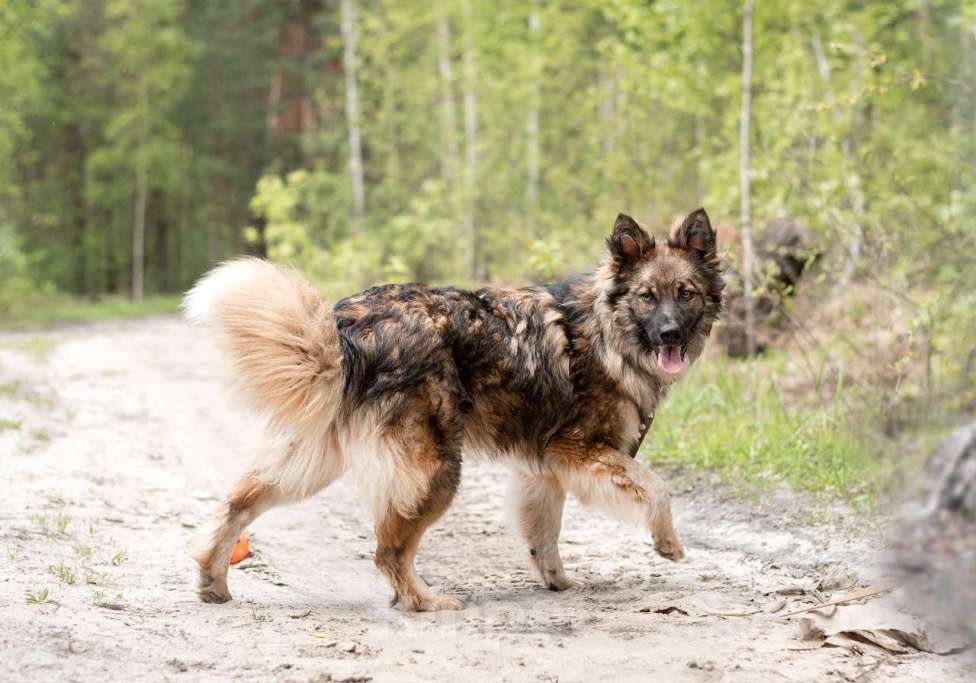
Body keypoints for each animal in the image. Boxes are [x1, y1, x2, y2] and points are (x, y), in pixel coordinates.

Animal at [187, 208, 724, 608]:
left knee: (240, 502)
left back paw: (214, 579)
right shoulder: (581, 450)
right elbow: (656, 488)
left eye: (686, 294)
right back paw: (424, 601)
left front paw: (558, 582)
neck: (606, 329)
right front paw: (668, 544)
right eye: (647, 297)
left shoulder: (543, 469)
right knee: (388, 550)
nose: (670, 334)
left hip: (315, 458)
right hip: (435, 470)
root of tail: (346, 327)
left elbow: (544, 535)